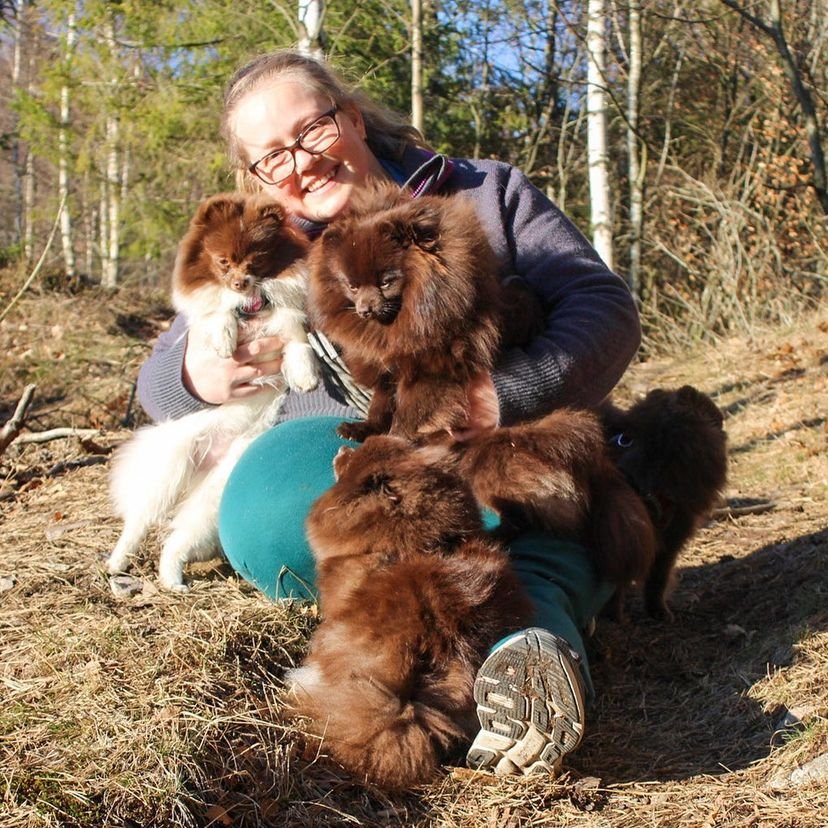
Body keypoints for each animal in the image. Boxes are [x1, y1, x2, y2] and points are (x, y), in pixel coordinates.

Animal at [308, 181, 540, 440]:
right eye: (352, 286)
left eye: (386, 282)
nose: (365, 309)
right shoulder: (387, 368)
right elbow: (380, 404)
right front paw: (365, 428)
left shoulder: (430, 367)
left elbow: (409, 412)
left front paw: (393, 439)